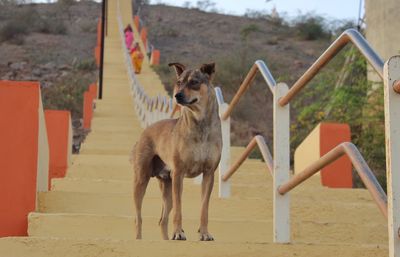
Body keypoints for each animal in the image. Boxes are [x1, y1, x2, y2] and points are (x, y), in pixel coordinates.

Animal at [133, 62, 223, 240]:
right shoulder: (179, 173)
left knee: (163, 220)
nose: (177, 96)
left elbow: (204, 208)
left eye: (194, 82)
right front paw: (178, 232)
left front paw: (204, 233)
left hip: (167, 185)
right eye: (179, 82)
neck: (200, 123)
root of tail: (145, 132)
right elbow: (179, 209)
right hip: (141, 179)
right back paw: (139, 238)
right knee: (138, 216)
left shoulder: (209, 173)